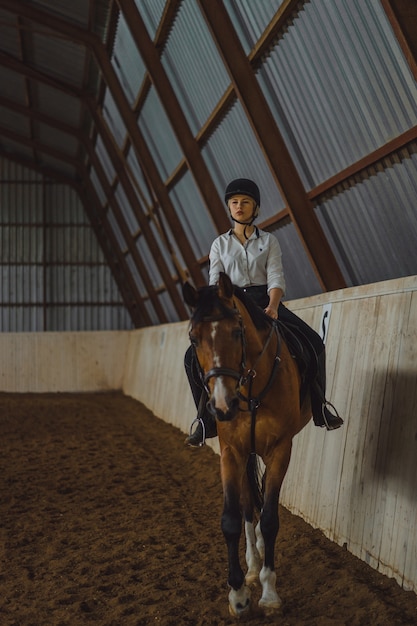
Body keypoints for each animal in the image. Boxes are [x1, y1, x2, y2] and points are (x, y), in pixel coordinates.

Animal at [183, 272, 312, 616]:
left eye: (237, 331)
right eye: (193, 338)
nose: (222, 405)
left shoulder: (281, 448)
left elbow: (269, 518)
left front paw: (269, 592)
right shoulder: (231, 452)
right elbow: (232, 518)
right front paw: (239, 594)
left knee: (261, 498)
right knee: (246, 505)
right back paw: (252, 565)